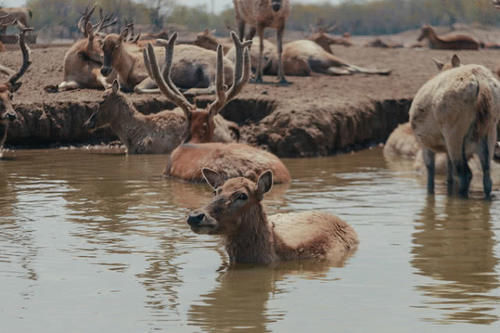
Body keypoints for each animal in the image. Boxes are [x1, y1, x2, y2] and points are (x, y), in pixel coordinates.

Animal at [410, 54, 500, 198]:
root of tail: (481, 83)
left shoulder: (424, 143)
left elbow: (430, 169)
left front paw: (430, 192)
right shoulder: (445, 148)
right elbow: (449, 171)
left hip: (453, 130)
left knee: (464, 173)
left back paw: (461, 197)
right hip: (490, 129)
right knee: (486, 174)